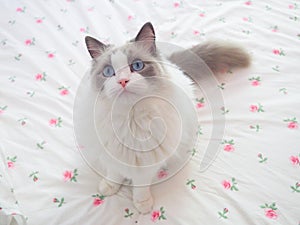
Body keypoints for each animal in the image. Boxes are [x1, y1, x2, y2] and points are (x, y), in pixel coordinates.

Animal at [84, 22, 251, 214]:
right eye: (108, 71)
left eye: (137, 66)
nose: (123, 81)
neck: (130, 119)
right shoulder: (109, 154)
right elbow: (114, 173)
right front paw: (109, 187)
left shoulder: (146, 165)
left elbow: (140, 186)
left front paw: (142, 204)